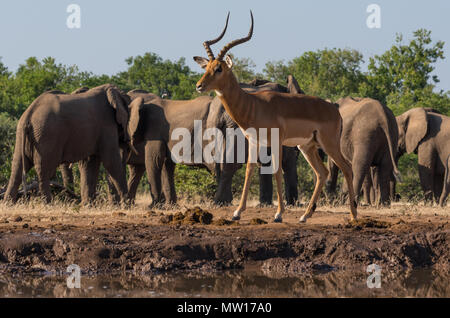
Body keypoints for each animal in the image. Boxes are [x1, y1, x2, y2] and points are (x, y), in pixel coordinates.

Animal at [3, 84, 134, 204]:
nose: (127, 140)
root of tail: (29, 113)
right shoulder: (106, 125)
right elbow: (111, 161)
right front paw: (127, 205)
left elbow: (90, 163)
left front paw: (88, 206)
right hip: (46, 135)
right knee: (44, 170)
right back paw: (48, 204)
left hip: (22, 135)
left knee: (17, 168)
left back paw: (8, 204)